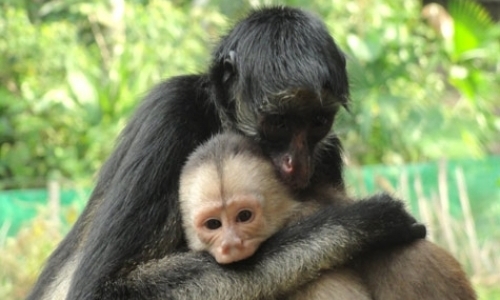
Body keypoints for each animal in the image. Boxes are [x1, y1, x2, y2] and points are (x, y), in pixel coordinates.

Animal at [27, 5, 434, 298]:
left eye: (318, 121)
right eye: (278, 123)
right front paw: (365, 222)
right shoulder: (169, 114)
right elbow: (103, 290)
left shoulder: (327, 151)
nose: (296, 163)